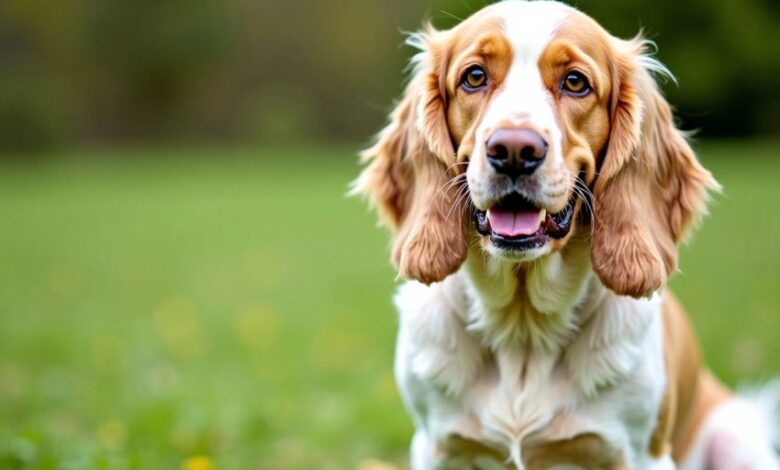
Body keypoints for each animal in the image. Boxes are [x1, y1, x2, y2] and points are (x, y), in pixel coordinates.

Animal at [354, 1, 780, 468]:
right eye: (474, 76)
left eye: (575, 82)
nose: (514, 150)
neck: (523, 328)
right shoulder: (436, 446)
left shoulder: (640, 453)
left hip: (734, 440)